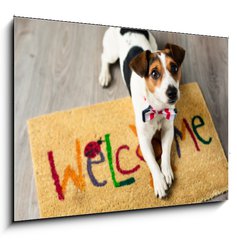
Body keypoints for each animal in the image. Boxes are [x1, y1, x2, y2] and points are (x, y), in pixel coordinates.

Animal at [98, 27, 185, 198]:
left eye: (174, 68)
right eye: (154, 73)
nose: (172, 92)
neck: (157, 108)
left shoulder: (168, 130)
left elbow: (165, 153)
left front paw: (166, 171)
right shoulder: (144, 140)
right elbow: (152, 162)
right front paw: (159, 182)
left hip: (153, 42)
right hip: (112, 53)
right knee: (104, 57)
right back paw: (104, 75)